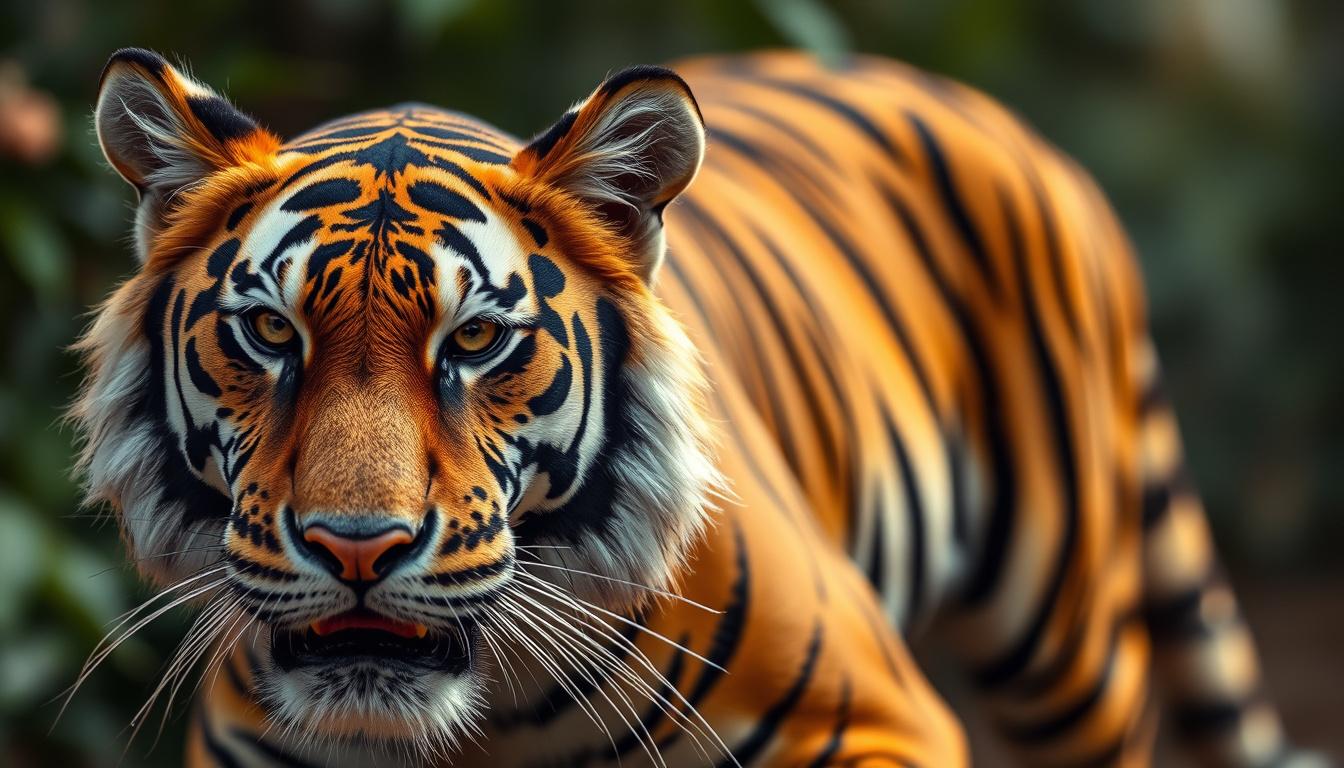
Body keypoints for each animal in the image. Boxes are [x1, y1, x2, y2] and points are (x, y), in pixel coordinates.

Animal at [71, 46, 1325, 768]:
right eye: (270, 333)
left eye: (473, 340)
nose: (356, 549)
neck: (484, 725)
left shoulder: (884, 723)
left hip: (1070, 651)